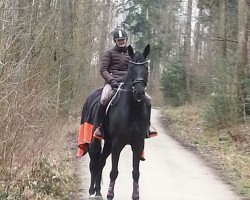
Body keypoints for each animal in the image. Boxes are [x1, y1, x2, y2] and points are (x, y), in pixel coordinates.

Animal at [88, 44, 150, 199]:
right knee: (94, 162)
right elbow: (114, 172)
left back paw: (98, 191)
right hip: (98, 140)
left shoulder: (138, 144)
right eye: (131, 67)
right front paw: (110, 194)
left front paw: (135, 195)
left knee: (100, 162)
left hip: (108, 143)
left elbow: (136, 172)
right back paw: (92, 191)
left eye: (146, 67)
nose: (139, 92)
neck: (132, 110)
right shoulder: (117, 143)